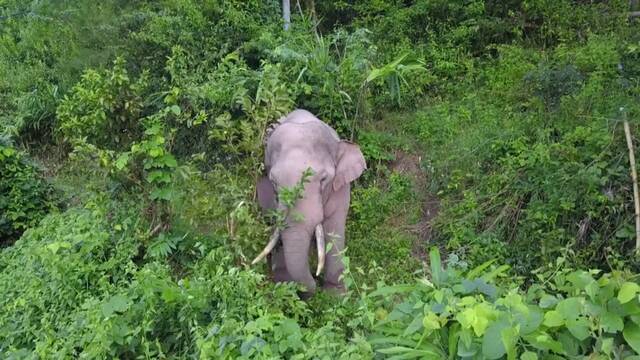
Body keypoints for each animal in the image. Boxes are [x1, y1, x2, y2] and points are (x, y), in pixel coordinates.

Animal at [252, 110, 368, 298]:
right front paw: (287, 287)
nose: (315, 277)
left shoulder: (340, 188)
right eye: (274, 182)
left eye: (323, 179)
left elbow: (334, 227)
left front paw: (336, 296)